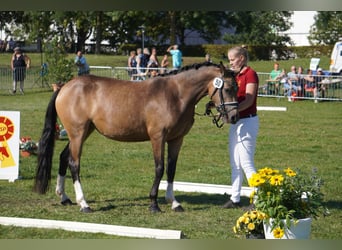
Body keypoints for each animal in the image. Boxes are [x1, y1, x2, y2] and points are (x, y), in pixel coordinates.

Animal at [33, 61, 239, 212]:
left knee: (63, 157)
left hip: (83, 133)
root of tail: (64, 87)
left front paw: (174, 202)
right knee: (74, 163)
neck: (175, 94)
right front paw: (154, 204)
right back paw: (83, 203)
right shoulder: (158, 137)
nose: (234, 117)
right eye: (228, 88)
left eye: (236, 88)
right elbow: (159, 168)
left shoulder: (176, 139)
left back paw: (64, 197)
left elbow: (171, 169)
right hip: (78, 133)